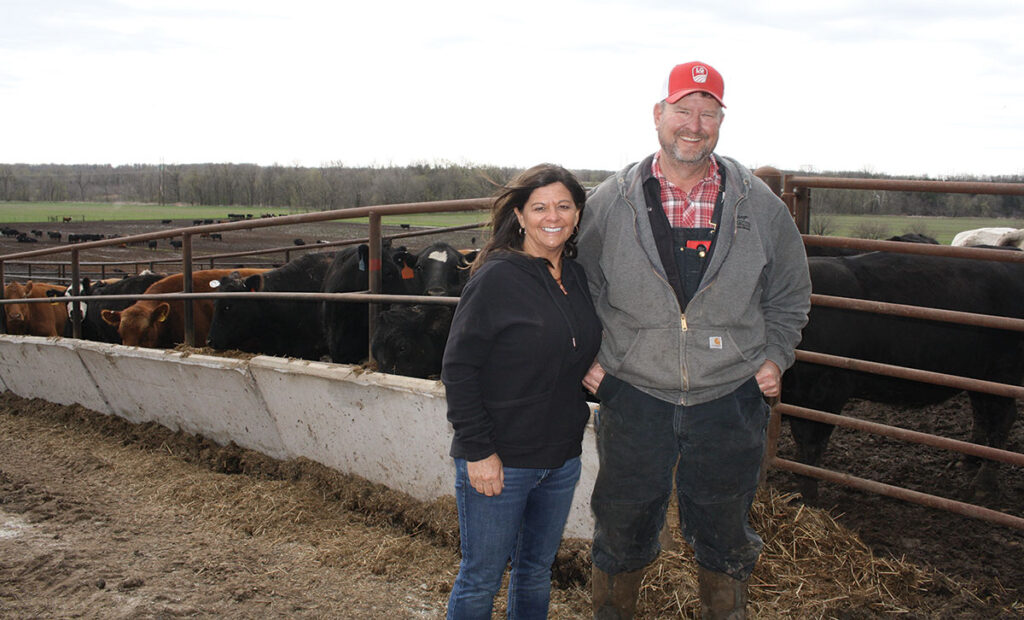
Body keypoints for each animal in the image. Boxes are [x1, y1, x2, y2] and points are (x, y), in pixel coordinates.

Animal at [778, 251, 1019, 502]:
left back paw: (984, 483)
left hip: (1003, 374)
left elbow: (809, 447)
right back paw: (969, 459)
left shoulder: (825, 394)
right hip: (979, 377)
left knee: (1003, 418)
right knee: (981, 412)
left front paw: (808, 497)